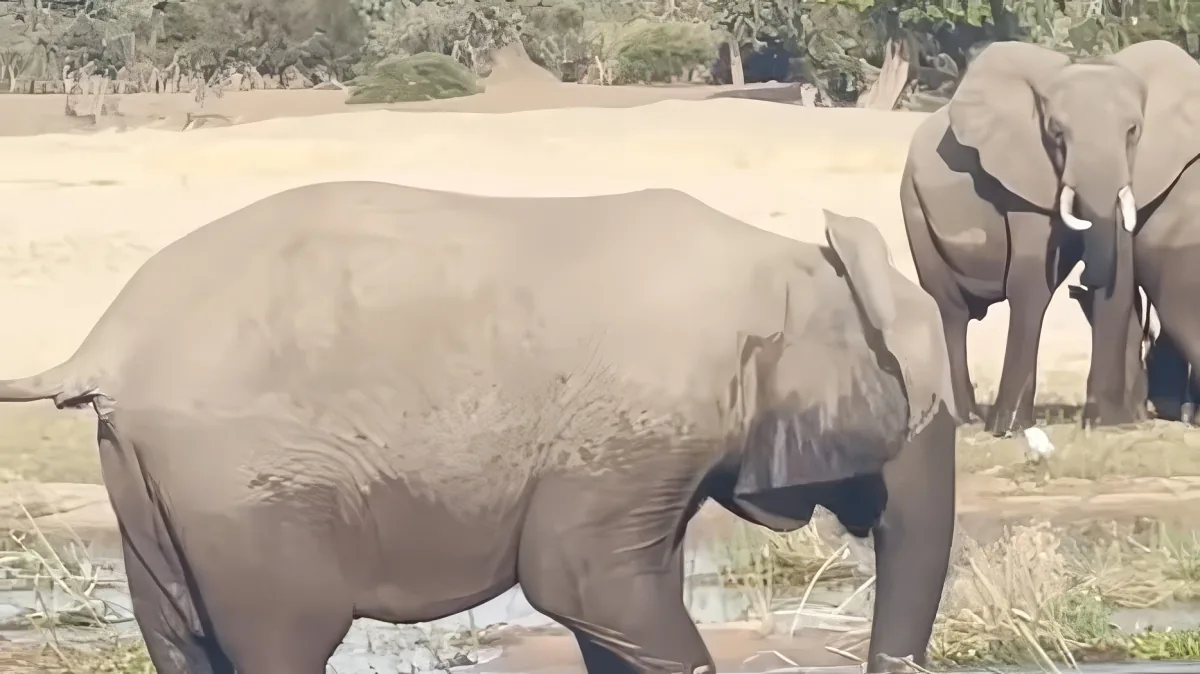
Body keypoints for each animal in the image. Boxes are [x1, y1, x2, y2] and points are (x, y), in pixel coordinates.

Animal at [0, 182, 957, 674]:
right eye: (922, 413)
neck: (792, 260)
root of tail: (107, 343)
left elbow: (606, 603)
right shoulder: (642, 420)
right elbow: (576, 583)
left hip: (152, 478)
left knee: (180, 638)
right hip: (243, 486)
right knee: (288, 636)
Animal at [901, 40, 1199, 435]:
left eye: (1133, 131)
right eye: (1057, 133)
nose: (1083, 280)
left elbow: (1121, 278)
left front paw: (1107, 424)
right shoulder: (1024, 177)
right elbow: (1031, 283)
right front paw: (1008, 427)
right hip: (914, 204)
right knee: (949, 309)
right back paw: (965, 420)